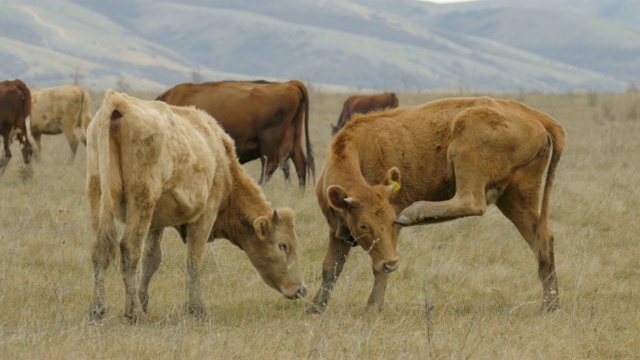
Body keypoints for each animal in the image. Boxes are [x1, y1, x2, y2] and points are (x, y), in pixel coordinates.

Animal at [86, 89, 306, 320]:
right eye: (283, 245)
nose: (301, 290)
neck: (222, 161)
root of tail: (118, 101)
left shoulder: (156, 222)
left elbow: (151, 259)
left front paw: (144, 301)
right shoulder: (204, 217)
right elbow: (193, 260)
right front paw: (196, 308)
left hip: (98, 193)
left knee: (100, 250)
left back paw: (97, 309)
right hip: (142, 199)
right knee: (129, 248)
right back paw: (133, 312)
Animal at [310, 97, 564, 314]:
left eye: (390, 220)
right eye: (363, 225)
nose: (393, 263)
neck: (358, 151)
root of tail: (536, 115)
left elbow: (377, 267)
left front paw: (372, 308)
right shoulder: (338, 231)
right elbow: (330, 268)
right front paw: (315, 307)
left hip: (466, 150)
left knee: (471, 201)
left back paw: (413, 213)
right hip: (516, 198)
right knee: (541, 239)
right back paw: (550, 305)